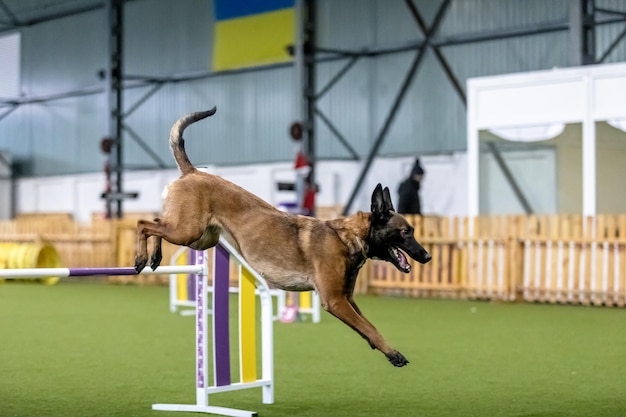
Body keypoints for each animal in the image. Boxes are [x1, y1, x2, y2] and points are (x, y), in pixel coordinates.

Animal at [135, 108, 432, 368]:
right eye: (406, 232)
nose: (427, 256)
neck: (346, 237)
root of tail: (194, 172)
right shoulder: (335, 300)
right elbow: (369, 326)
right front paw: (393, 353)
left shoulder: (347, 299)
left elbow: (368, 325)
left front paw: (381, 347)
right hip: (188, 231)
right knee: (143, 224)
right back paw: (141, 258)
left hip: (199, 239)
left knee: (157, 222)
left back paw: (155, 257)